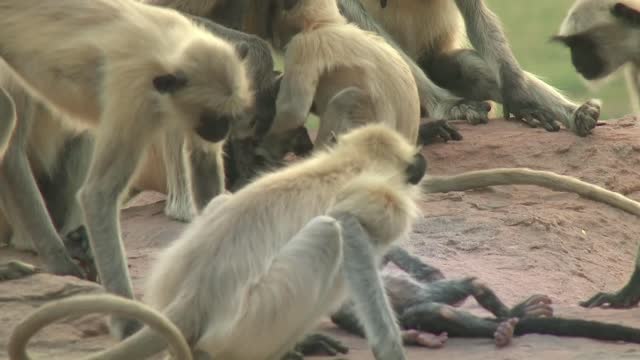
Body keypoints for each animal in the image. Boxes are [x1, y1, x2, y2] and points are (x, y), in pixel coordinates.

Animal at [0, 0, 252, 338]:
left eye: (229, 117)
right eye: (211, 118)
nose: (221, 132)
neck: (166, 48)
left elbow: (203, 160)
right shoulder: (134, 91)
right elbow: (97, 195)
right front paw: (128, 324)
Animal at [7, 124, 428, 360]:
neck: (353, 160)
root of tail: (191, 299)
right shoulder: (387, 202)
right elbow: (349, 224)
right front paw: (391, 349)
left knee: (221, 201)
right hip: (254, 320)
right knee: (329, 232)